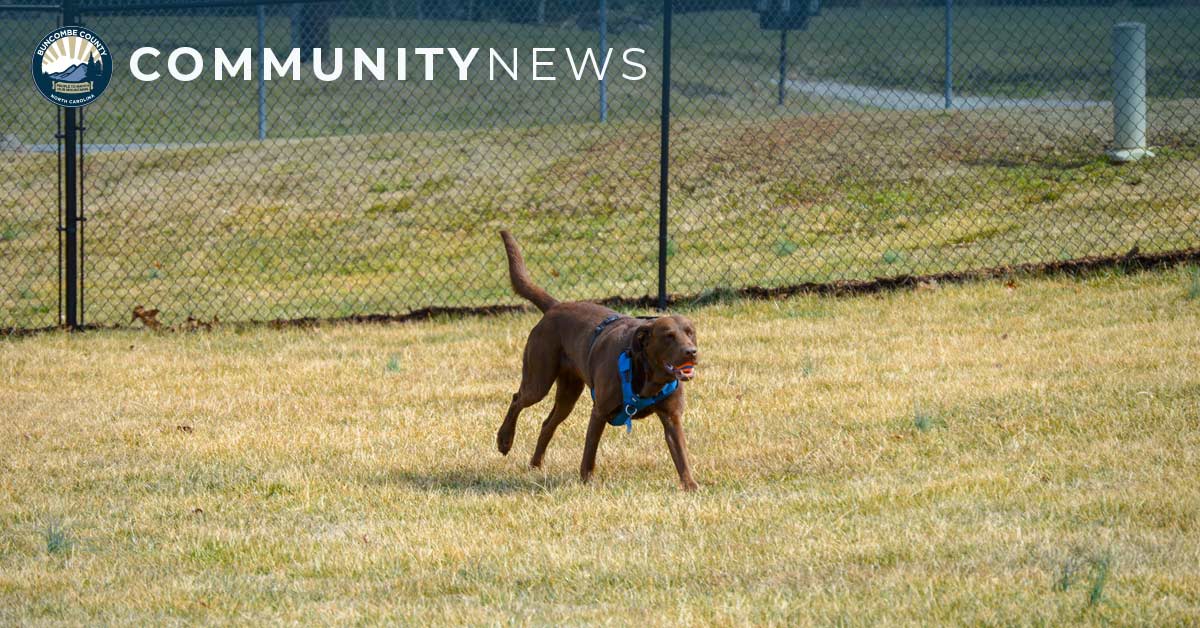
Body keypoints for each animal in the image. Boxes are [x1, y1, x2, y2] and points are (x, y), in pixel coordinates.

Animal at [496, 230, 700, 492]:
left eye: (690, 332)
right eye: (668, 336)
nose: (691, 352)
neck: (647, 376)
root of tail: (555, 306)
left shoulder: (672, 418)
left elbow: (681, 455)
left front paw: (690, 485)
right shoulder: (600, 411)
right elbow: (589, 452)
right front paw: (587, 479)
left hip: (568, 391)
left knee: (547, 423)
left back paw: (535, 465)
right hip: (539, 379)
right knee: (517, 399)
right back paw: (504, 440)